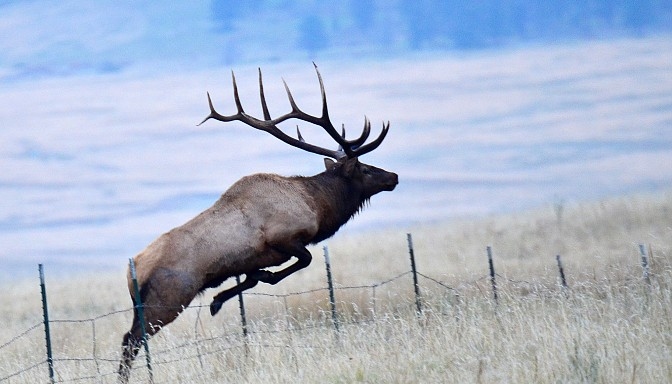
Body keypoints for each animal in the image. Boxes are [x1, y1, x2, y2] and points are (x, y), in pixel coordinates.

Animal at [118, 66, 396, 380]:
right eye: (364, 168)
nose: (394, 176)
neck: (317, 206)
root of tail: (132, 272)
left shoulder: (252, 260)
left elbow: (251, 278)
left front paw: (218, 299)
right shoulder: (283, 238)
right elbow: (303, 261)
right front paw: (247, 287)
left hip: (145, 306)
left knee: (132, 338)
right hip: (167, 301)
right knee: (131, 340)